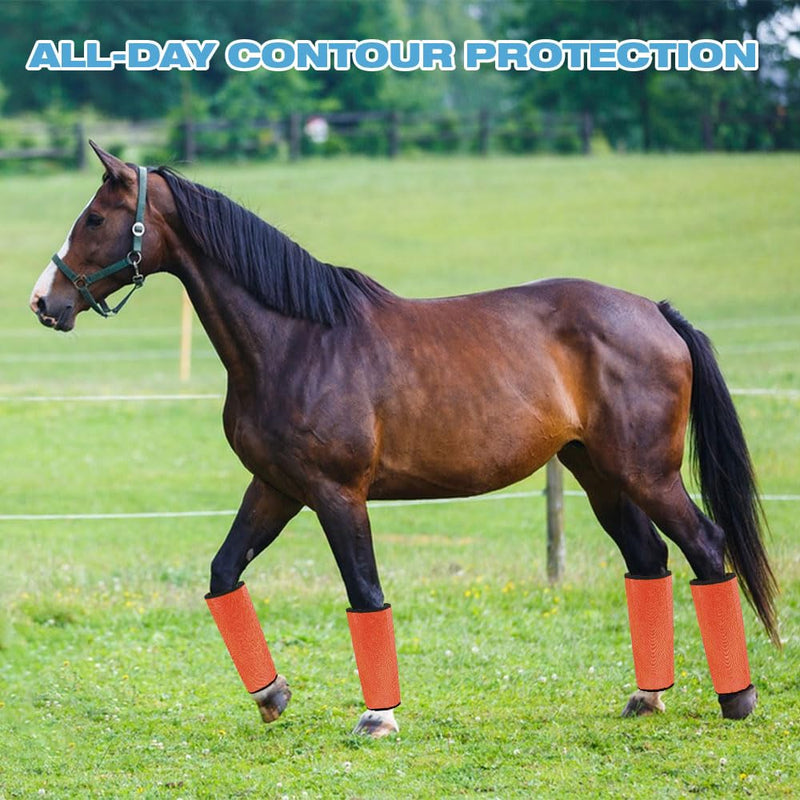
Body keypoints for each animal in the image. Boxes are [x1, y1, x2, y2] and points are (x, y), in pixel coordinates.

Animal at [30, 142, 778, 737]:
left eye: (94, 218)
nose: (44, 301)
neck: (299, 339)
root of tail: (655, 311)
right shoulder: (275, 487)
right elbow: (223, 574)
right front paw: (272, 695)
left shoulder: (337, 495)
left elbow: (365, 593)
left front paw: (378, 716)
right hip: (599, 475)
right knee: (648, 560)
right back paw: (648, 697)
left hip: (647, 473)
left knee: (706, 547)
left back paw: (736, 698)